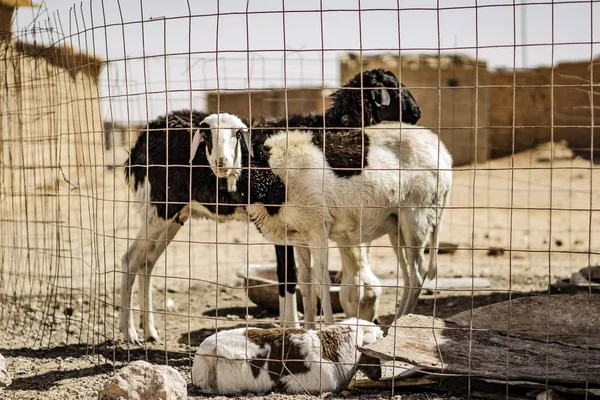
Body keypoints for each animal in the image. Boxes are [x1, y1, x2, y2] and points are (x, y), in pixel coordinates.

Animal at [120, 69, 422, 344]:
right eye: (394, 88)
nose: (417, 113)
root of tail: (143, 138)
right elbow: (288, 278)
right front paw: (293, 326)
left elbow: (295, 279)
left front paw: (294, 326)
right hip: (159, 207)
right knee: (130, 259)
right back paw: (129, 332)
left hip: (174, 214)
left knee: (147, 262)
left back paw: (150, 331)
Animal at [191, 114, 450, 326]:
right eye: (206, 135)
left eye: (237, 134)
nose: (222, 163)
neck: (272, 176)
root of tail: (443, 152)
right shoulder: (298, 237)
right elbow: (304, 284)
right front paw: (307, 329)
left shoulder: (318, 231)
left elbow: (321, 284)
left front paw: (326, 328)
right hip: (397, 225)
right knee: (407, 277)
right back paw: (397, 321)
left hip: (417, 215)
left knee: (417, 275)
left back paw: (400, 322)